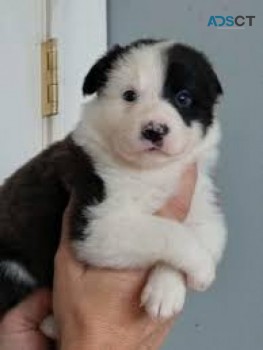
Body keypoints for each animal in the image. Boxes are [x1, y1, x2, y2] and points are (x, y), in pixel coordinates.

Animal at [0, 39, 227, 334]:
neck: (149, 172)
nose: (154, 130)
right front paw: (202, 270)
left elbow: (193, 234)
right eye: (129, 95)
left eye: (183, 98)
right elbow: (169, 231)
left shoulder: (205, 214)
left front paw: (166, 292)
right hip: (8, 267)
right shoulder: (98, 224)